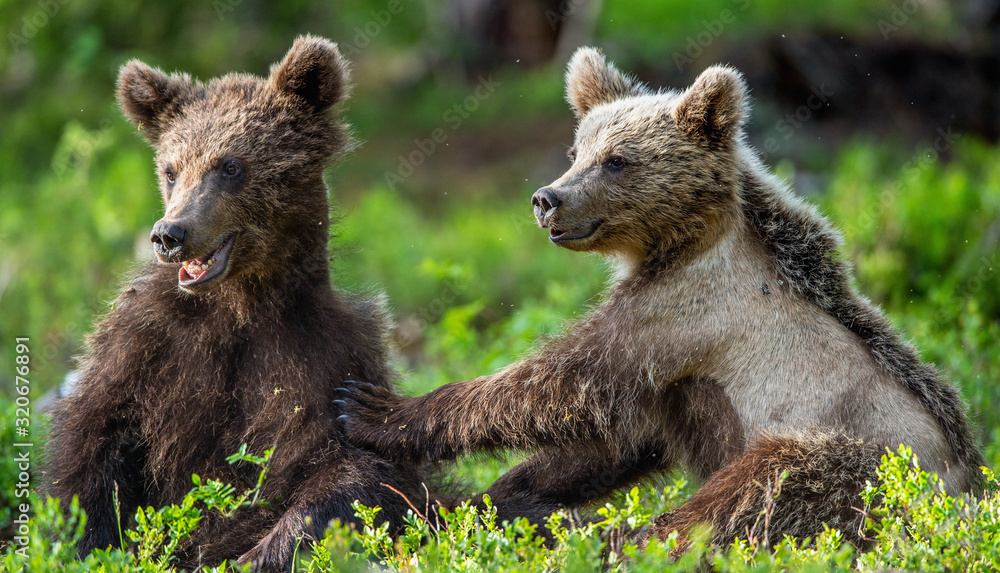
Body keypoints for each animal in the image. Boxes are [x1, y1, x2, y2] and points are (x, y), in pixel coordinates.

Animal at [43, 36, 448, 572]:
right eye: (171, 170)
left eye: (230, 165)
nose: (170, 234)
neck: (242, 305)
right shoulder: (146, 345)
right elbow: (90, 446)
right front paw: (84, 543)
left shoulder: (329, 357)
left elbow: (355, 473)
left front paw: (261, 551)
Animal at [336, 47, 983, 551]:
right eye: (578, 149)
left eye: (618, 159)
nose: (547, 199)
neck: (677, 244)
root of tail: (968, 505)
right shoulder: (668, 373)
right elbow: (615, 440)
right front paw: (494, 499)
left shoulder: (681, 315)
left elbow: (554, 384)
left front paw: (376, 409)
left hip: (871, 466)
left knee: (763, 485)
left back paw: (632, 537)